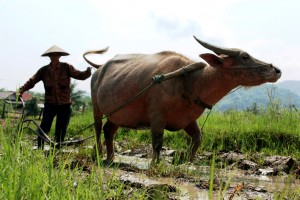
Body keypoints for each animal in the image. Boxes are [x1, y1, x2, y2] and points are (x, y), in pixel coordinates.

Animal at [84, 36, 282, 163]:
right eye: (244, 56)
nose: (276, 70)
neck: (191, 82)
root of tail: (99, 69)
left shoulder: (188, 120)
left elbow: (198, 138)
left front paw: (187, 159)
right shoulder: (157, 117)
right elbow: (158, 142)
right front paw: (155, 165)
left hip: (115, 114)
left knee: (109, 130)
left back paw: (111, 157)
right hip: (96, 107)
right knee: (97, 128)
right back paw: (98, 153)